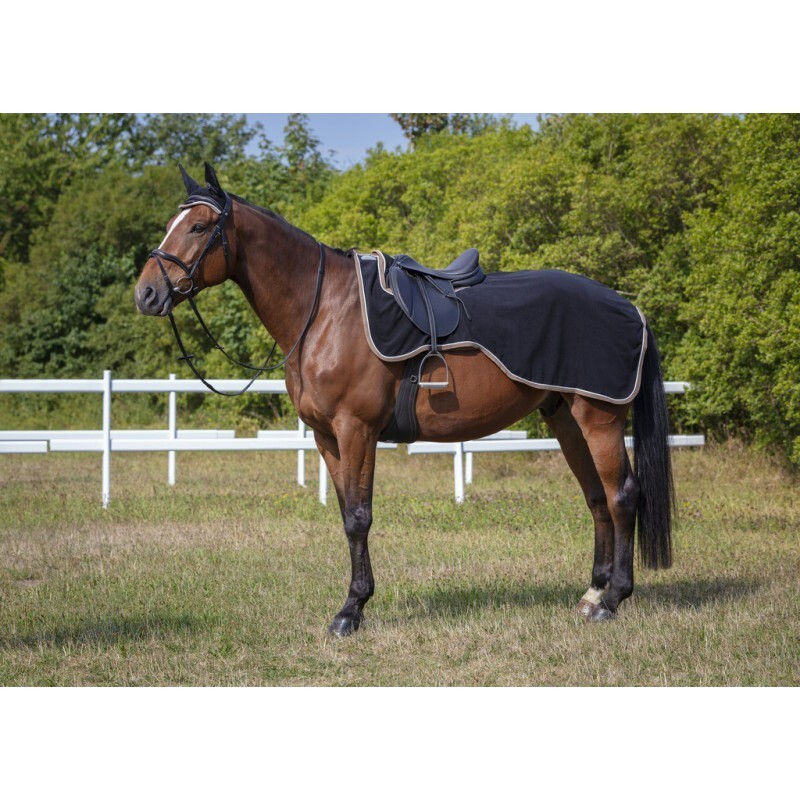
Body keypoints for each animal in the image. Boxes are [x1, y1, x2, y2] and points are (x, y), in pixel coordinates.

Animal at [134, 163, 674, 634]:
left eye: (199, 226)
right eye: (172, 225)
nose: (146, 294)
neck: (325, 311)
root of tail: (629, 307)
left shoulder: (356, 429)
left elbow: (359, 518)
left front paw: (351, 611)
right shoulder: (326, 436)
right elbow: (346, 514)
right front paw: (354, 603)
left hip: (599, 417)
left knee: (622, 495)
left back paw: (612, 600)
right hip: (565, 418)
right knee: (596, 498)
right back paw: (591, 594)